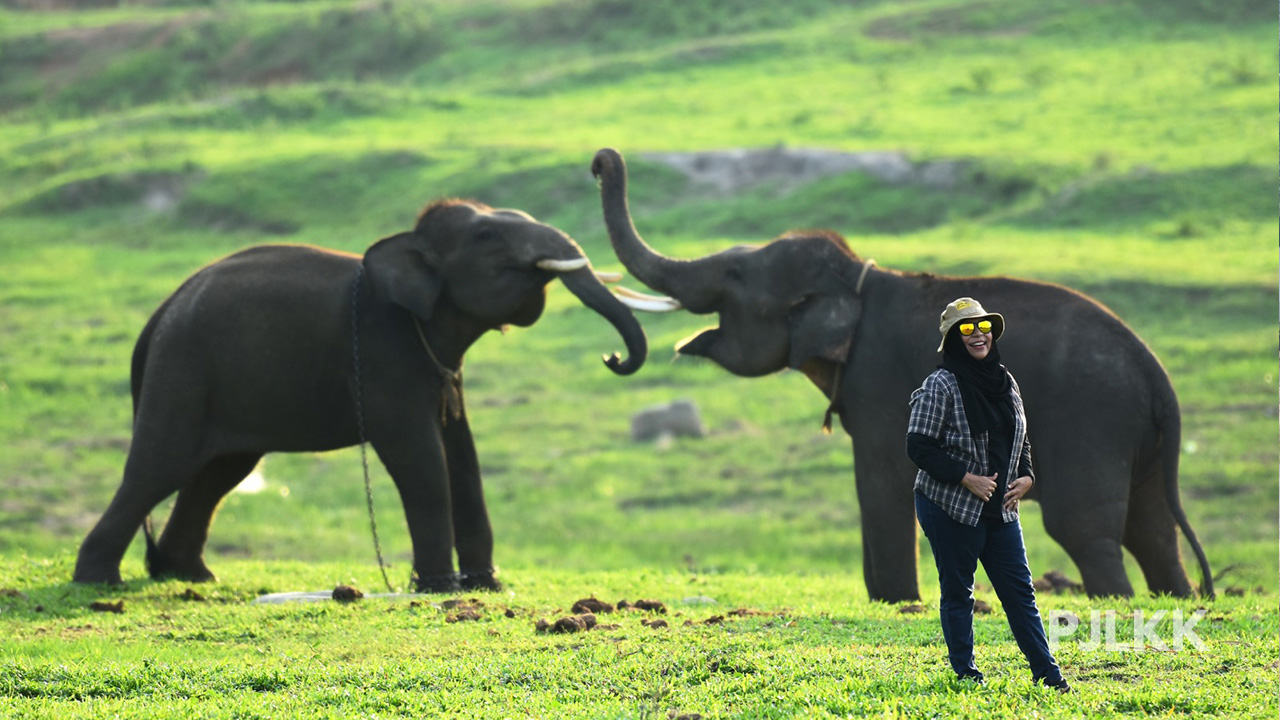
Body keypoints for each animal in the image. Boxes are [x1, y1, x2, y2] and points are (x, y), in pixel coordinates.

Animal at [74, 194, 645, 589]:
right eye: (485, 234)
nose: (612, 358)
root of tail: (157, 319)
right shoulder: (384, 354)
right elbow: (420, 456)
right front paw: (439, 589)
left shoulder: (443, 369)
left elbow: (463, 453)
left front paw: (487, 586)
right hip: (183, 371)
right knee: (157, 469)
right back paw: (99, 579)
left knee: (219, 473)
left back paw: (189, 575)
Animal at [588, 148, 1208, 602]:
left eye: (737, 273)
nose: (601, 160)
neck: (858, 282)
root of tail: (1159, 381)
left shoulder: (880, 384)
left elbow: (883, 479)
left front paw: (895, 601)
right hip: (1135, 440)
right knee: (1152, 532)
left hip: (1093, 427)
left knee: (1089, 532)